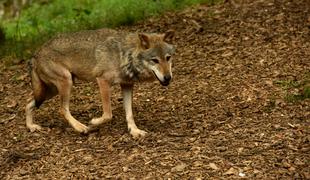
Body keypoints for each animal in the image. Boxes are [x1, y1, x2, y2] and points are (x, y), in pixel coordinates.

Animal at [25, 27, 176, 138]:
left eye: (168, 58)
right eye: (155, 60)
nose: (168, 77)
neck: (124, 54)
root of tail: (35, 54)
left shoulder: (127, 85)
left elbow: (129, 114)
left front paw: (134, 131)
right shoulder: (102, 81)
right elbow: (108, 114)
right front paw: (94, 122)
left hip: (51, 91)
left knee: (28, 104)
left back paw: (31, 127)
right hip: (65, 83)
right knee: (62, 109)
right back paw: (81, 127)